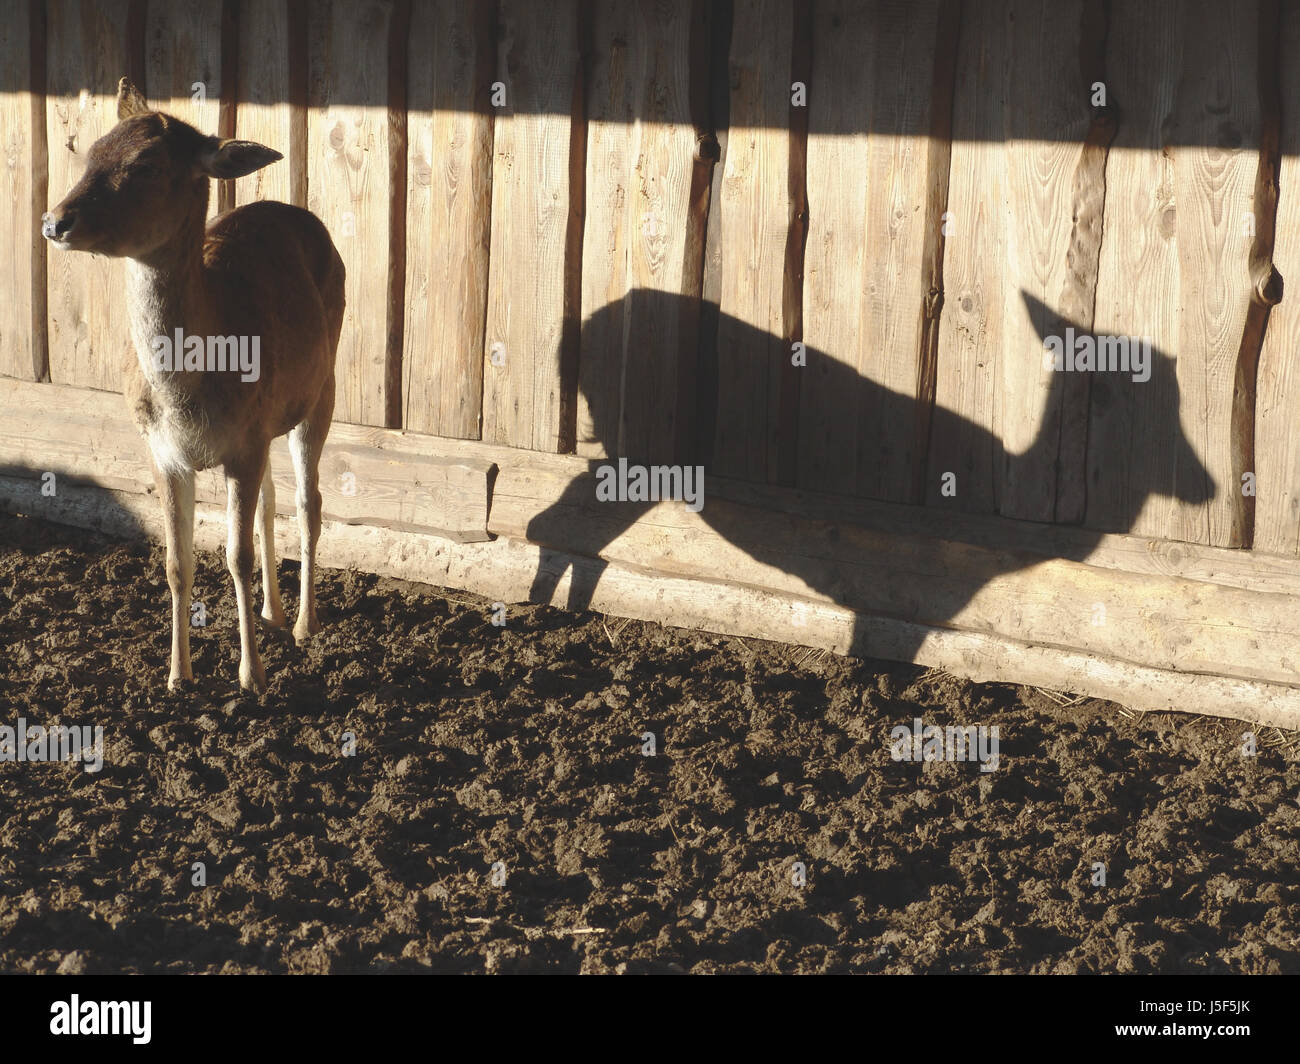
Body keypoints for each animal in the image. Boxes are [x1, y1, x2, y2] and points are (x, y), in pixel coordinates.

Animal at [43, 80, 343, 697]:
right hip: (271, 423)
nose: (54, 222)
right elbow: (178, 562)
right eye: (91, 152)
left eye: (147, 165)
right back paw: (275, 614)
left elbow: (236, 557)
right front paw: (177, 676)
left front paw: (251, 677)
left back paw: (304, 625)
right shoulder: (164, 451)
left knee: (309, 501)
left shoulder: (245, 444)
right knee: (272, 500)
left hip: (323, 386)